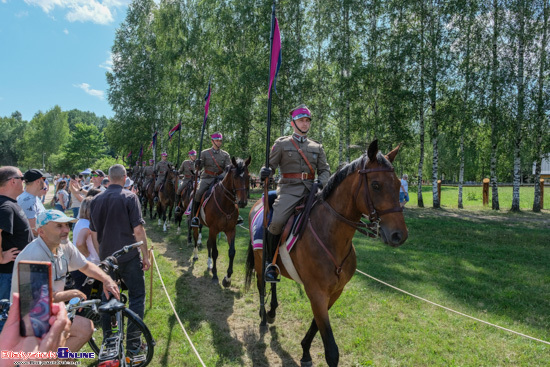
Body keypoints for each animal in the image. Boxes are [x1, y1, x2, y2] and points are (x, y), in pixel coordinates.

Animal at [193, 157, 251, 286]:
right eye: (235, 176)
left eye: (248, 176)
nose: (242, 202)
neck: (225, 203)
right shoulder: (214, 229)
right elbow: (215, 252)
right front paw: (215, 275)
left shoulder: (231, 230)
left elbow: (232, 252)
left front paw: (227, 278)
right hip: (197, 224)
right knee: (196, 239)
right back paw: (195, 255)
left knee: (209, 243)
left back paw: (209, 264)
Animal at [246, 139, 410, 366]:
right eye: (376, 185)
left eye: (397, 184)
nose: (398, 235)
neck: (330, 235)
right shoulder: (316, 293)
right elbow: (331, 349)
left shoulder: (335, 292)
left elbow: (316, 326)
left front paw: (305, 350)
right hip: (260, 259)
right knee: (262, 283)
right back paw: (263, 316)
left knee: (273, 282)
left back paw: (271, 311)